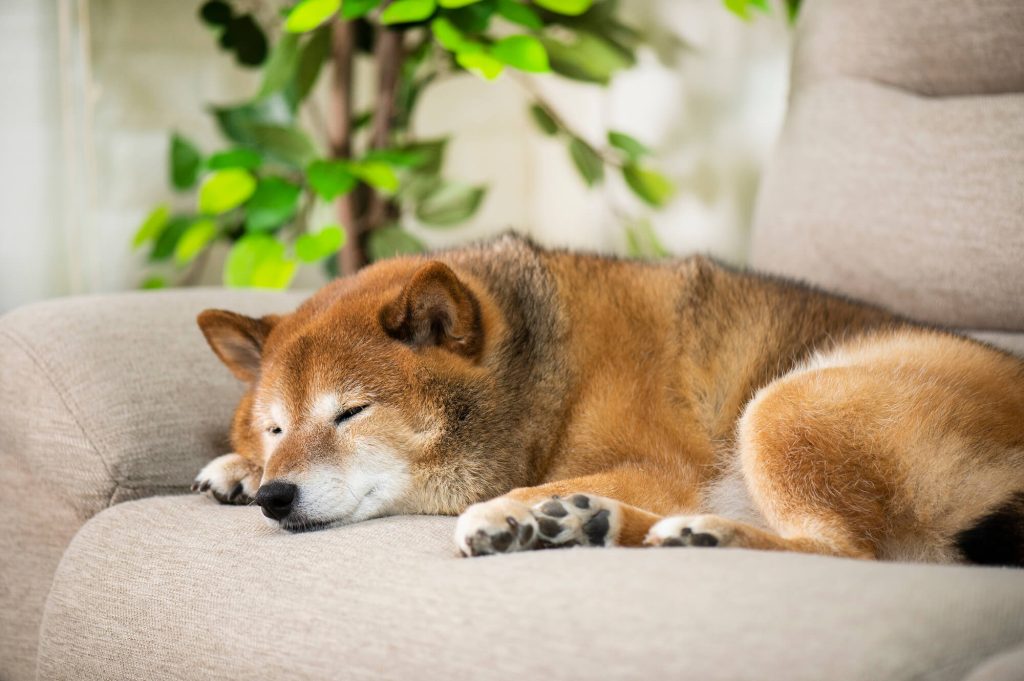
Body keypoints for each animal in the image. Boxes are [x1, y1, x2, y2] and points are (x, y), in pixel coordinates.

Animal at [192, 236, 1024, 565]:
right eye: (273, 426)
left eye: (350, 412)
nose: (274, 495)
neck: (545, 374)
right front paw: (232, 468)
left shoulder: (659, 464)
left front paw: (503, 506)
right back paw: (576, 522)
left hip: (786, 404)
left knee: (846, 550)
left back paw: (694, 534)